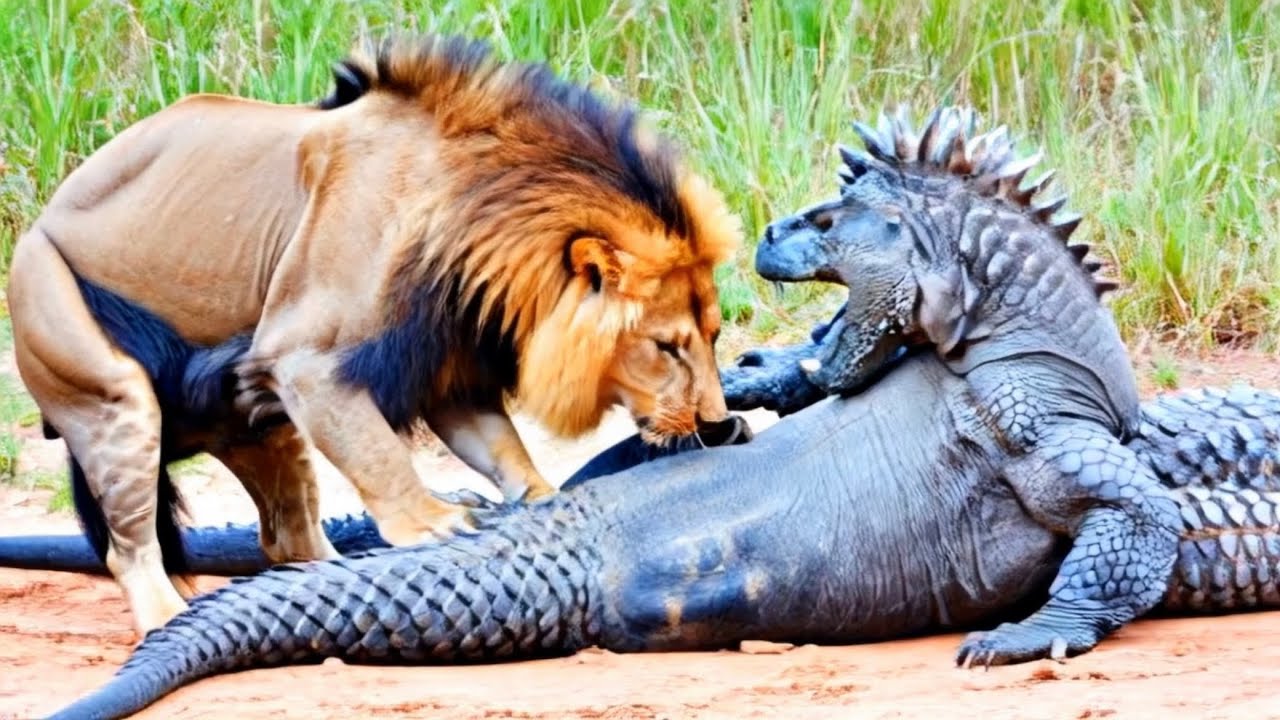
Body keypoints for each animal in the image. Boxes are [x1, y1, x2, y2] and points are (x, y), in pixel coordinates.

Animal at [6, 32, 743, 634]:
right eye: (667, 346)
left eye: (713, 336)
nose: (716, 422)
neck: (467, 210)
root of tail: (37, 225)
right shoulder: (305, 362)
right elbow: (382, 458)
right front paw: (437, 522)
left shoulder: (448, 366)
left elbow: (503, 449)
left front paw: (544, 501)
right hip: (103, 384)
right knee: (130, 547)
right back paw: (165, 618)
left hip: (258, 425)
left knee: (287, 537)